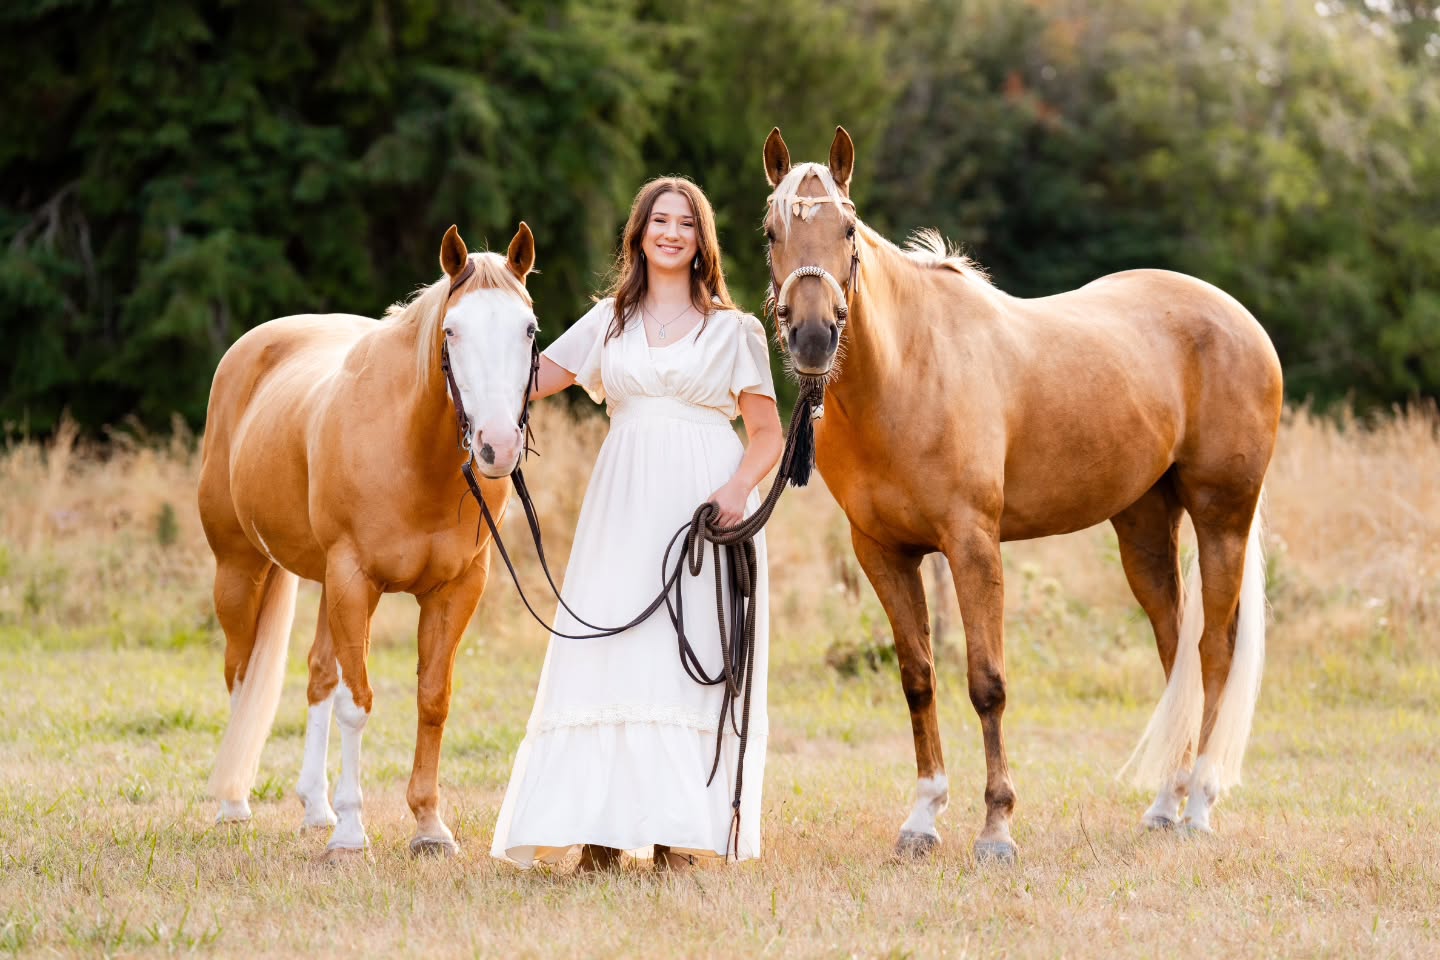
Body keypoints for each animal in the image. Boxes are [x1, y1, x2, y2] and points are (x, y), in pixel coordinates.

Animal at [198, 223, 537, 860]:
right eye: (451, 331)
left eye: (528, 328)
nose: (497, 445)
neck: (413, 452)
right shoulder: (356, 581)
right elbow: (356, 705)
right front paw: (354, 833)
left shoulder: (456, 589)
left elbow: (432, 699)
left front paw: (429, 826)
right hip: (239, 569)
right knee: (240, 674)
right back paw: (234, 801)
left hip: (322, 584)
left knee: (316, 676)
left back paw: (315, 809)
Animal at [762, 127, 1283, 864]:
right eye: (772, 231)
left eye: (848, 229)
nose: (812, 337)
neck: (907, 369)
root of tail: (1240, 319)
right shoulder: (882, 554)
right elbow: (918, 678)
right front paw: (922, 819)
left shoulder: (973, 545)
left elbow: (987, 683)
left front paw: (996, 829)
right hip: (1145, 526)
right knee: (1175, 649)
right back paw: (1164, 805)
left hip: (1222, 518)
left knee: (1214, 652)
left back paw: (1200, 807)